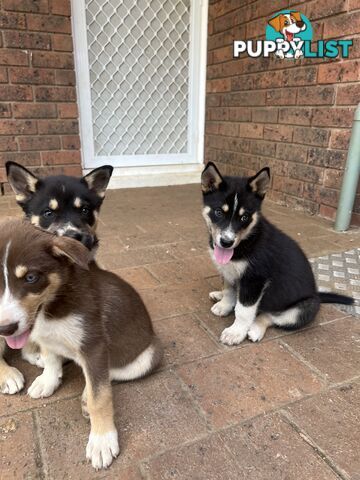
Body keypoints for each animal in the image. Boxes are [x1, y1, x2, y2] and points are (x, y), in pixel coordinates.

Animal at [0, 220, 162, 468]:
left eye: (31, 278)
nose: (4, 329)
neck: (52, 306)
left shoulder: (94, 346)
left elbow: (100, 396)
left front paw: (102, 440)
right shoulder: (46, 337)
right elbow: (51, 360)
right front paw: (48, 380)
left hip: (147, 357)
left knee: (109, 374)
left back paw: (87, 397)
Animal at [201, 163, 352, 346]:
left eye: (244, 217)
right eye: (218, 212)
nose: (226, 242)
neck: (246, 241)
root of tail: (317, 295)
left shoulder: (254, 280)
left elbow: (244, 311)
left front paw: (235, 332)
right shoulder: (229, 271)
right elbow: (229, 290)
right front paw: (224, 305)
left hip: (302, 310)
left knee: (269, 316)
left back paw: (255, 329)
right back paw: (219, 295)